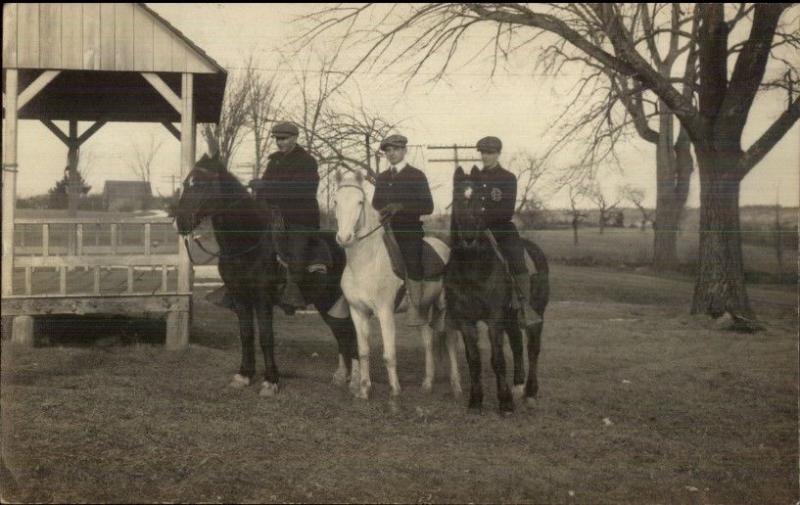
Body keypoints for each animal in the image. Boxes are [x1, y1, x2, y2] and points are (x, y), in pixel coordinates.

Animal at [174, 152, 356, 396]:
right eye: (186, 183)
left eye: (204, 184)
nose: (181, 221)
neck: (248, 243)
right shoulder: (240, 297)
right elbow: (246, 335)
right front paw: (244, 375)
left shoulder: (262, 298)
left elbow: (266, 337)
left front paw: (271, 381)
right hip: (326, 303)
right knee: (342, 333)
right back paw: (341, 377)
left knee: (352, 334)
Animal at [332, 169, 462, 398]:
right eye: (336, 201)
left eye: (359, 202)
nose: (344, 237)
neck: (365, 263)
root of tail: (443, 247)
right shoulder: (358, 312)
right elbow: (363, 352)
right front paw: (364, 390)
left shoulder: (385, 312)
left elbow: (389, 354)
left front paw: (395, 391)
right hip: (421, 309)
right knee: (428, 341)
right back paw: (427, 383)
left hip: (443, 305)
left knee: (450, 340)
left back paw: (456, 385)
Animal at [444, 165, 552, 410]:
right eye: (456, 199)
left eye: (482, 201)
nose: (469, 239)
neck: (473, 268)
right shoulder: (466, 319)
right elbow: (474, 359)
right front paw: (475, 400)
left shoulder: (494, 318)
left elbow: (497, 359)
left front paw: (505, 402)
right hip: (511, 315)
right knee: (517, 344)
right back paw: (518, 385)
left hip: (535, 313)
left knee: (533, 348)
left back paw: (530, 391)